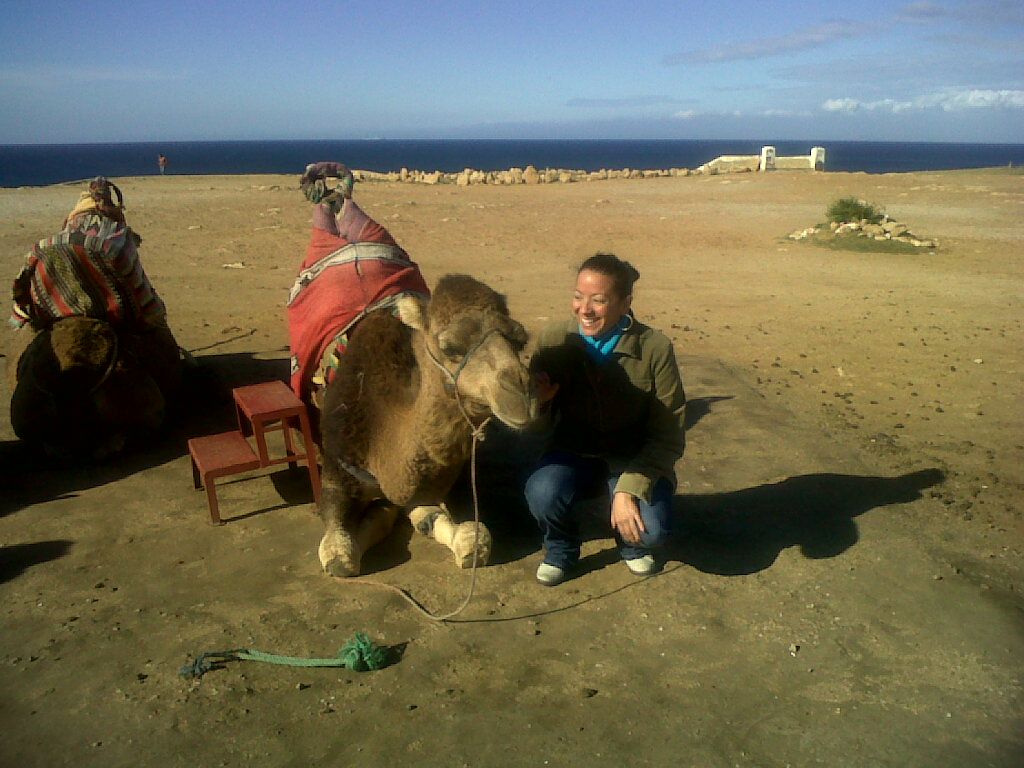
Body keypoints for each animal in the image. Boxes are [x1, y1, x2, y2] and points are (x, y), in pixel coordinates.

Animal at [316, 273, 537, 576]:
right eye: (450, 348)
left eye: (520, 340)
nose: (521, 395)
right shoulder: (337, 468)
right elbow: (338, 553)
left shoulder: (435, 483)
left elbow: (462, 531)